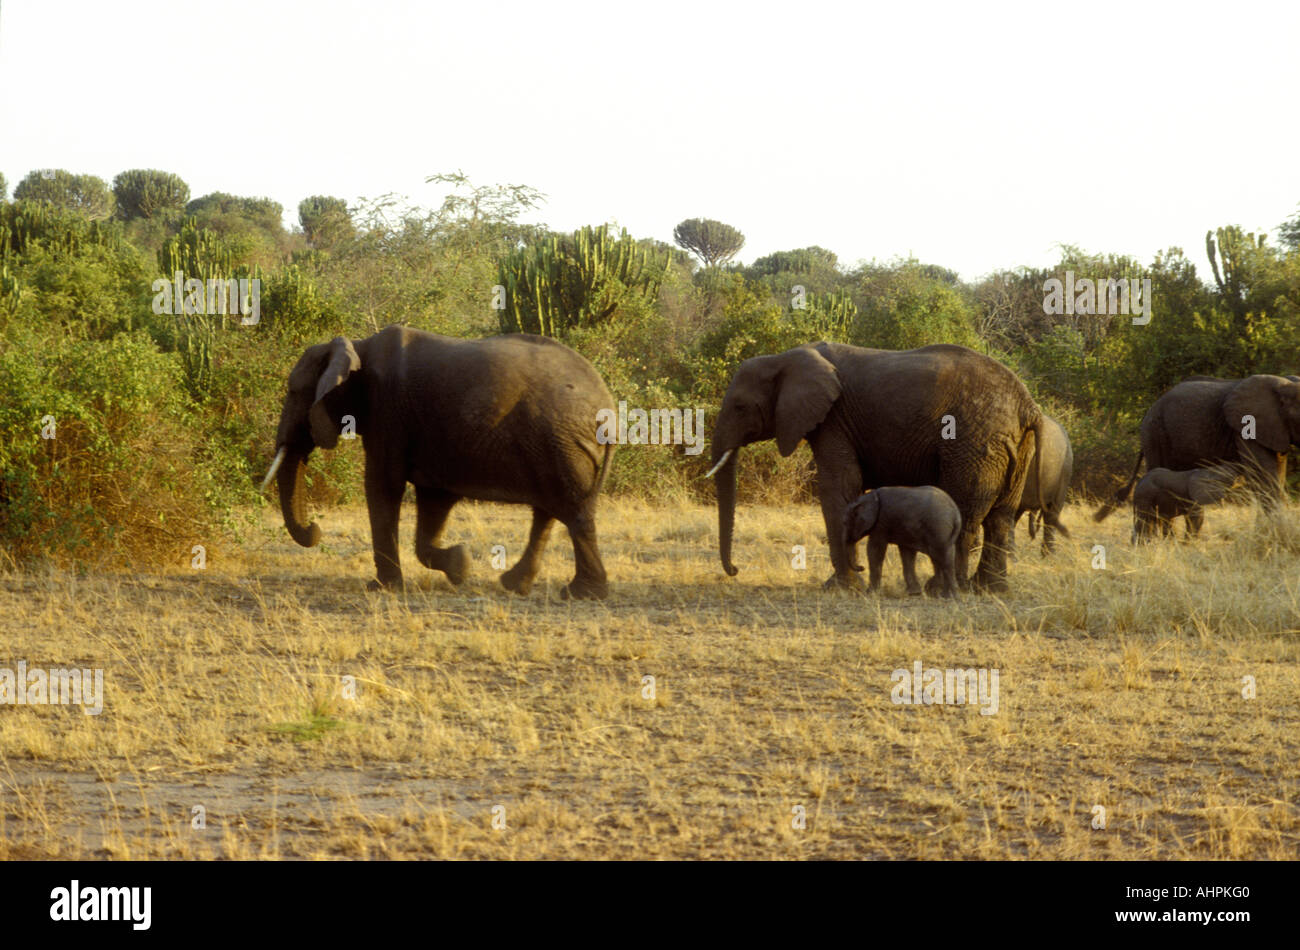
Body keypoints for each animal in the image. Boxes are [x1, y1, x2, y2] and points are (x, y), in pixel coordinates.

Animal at [261, 325, 614, 597]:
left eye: (294, 392)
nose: (315, 529)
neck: (357, 346)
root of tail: (607, 403)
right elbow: (434, 498)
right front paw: (461, 566)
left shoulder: (387, 410)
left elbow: (382, 485)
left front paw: (382, 588)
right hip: (555, 444)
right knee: (548, 511)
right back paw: (517, 585)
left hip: (560, 441)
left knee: (572, 511)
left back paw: (581, 594)